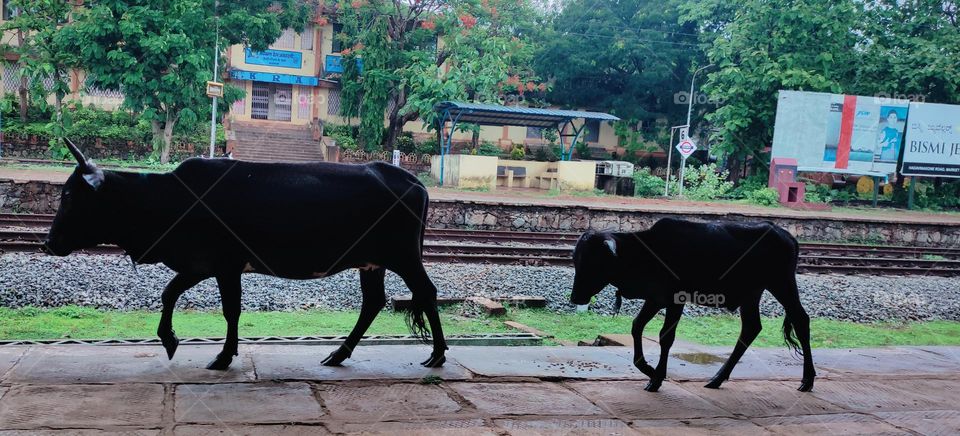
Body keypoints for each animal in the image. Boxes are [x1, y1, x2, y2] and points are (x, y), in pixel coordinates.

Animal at [43, 141, 447, 370]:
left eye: (69, 196)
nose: (49, 242)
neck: (171, 198)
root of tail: (413, 181)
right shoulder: (201, 264)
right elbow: (169, 293)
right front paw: (170, 340)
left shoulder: (225, 265)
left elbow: (229, 310)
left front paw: (222, 357)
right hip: (372, 263)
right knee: (373, 302)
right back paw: (338, 355)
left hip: (404, 257)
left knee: (425, 293)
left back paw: (438, 354)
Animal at [570, 218, 815, 392]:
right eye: (576, 260)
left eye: (593, 261)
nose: (575, 298)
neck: (645, 253)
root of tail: (786, 234)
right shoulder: (655, 299)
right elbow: (637, 326)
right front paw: (648, 369)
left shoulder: (675, 299)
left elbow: (665, 337)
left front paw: (656, 378)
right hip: (752, 294)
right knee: (751, 328)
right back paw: (717, 379)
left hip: (782, 284)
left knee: (801, 320)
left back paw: (808, 380)